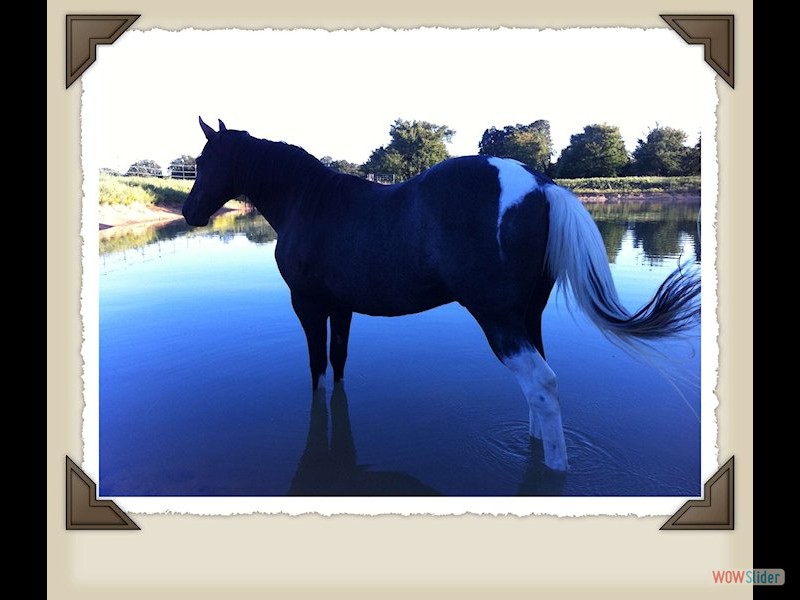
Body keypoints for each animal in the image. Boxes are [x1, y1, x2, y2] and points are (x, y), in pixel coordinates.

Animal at [183, 118, 700, 474]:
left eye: (203, 163)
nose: (189, 212)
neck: (310, 202)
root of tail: (540, 184)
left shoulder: (308, 307)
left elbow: (317, 373)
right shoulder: (342, 309)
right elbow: (338, 363)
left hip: (498, 319)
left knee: (541, 385)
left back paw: (554, 469)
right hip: (526, 317)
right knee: (541, 388)